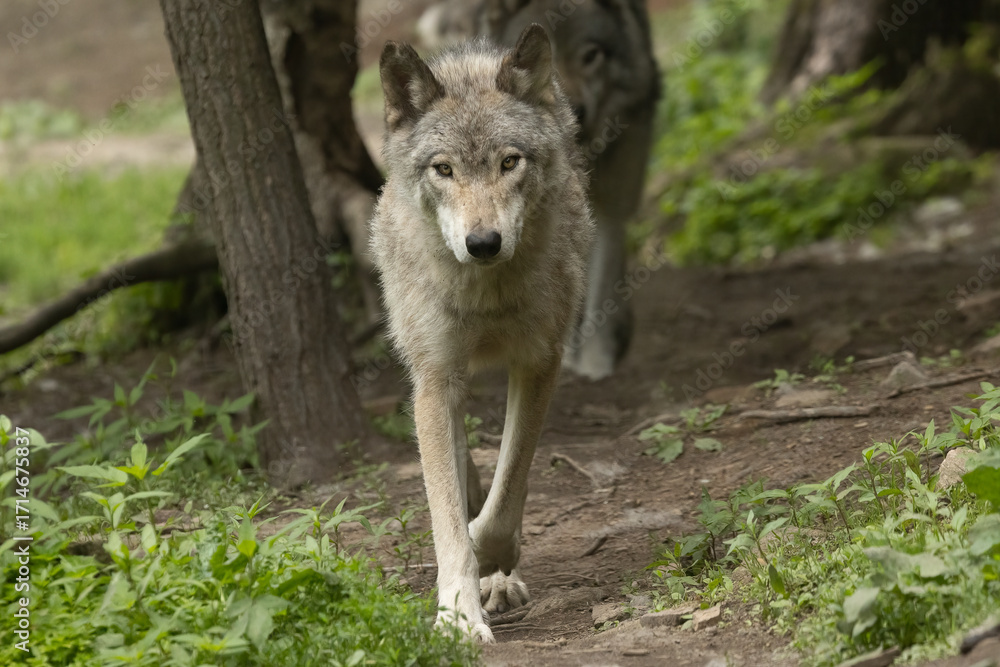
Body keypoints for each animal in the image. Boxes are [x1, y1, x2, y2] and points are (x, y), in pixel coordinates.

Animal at [370, 25, 594, 642]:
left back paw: (501, 578)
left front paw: (490, 561)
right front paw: (457, 615)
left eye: (509, 162)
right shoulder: (436, 378)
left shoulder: (539, 363)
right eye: (444, 170)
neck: (487, 294)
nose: (483, 243)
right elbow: (446, 506)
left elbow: (505, 494)